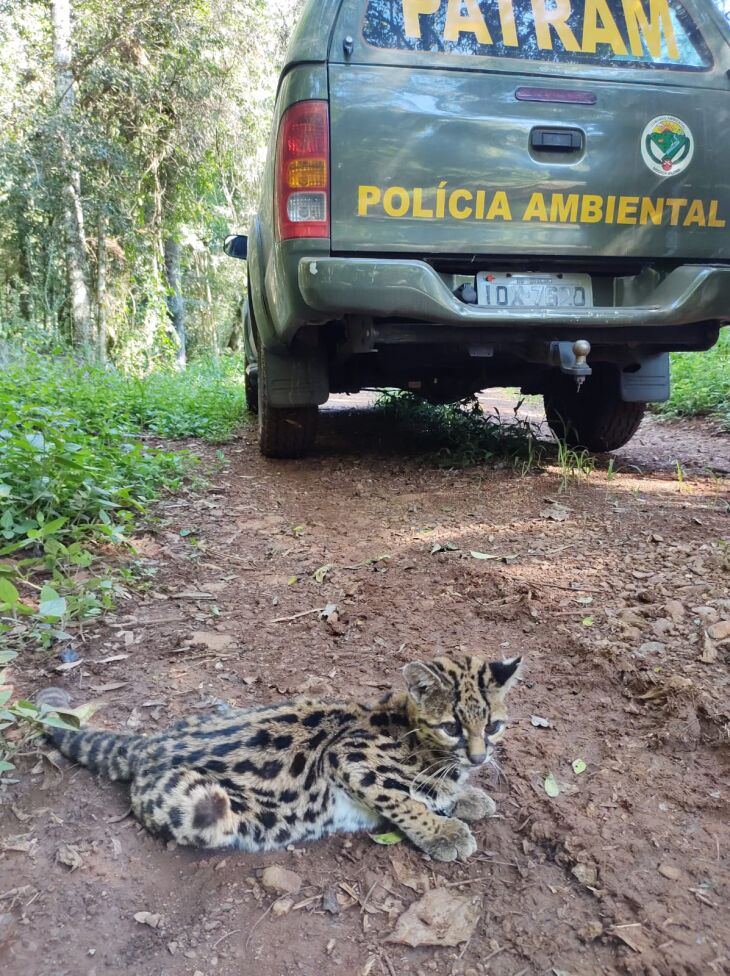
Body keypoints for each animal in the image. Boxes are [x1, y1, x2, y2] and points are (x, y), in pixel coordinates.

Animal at [38, 656, 516, 860]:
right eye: (451, 727)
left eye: (493, 726)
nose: (479, 758)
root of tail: (151, 743)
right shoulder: (348, 756)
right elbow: (401, 798)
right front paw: (442, 831)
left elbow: (432, 788)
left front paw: (463, 796)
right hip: (202, 806)